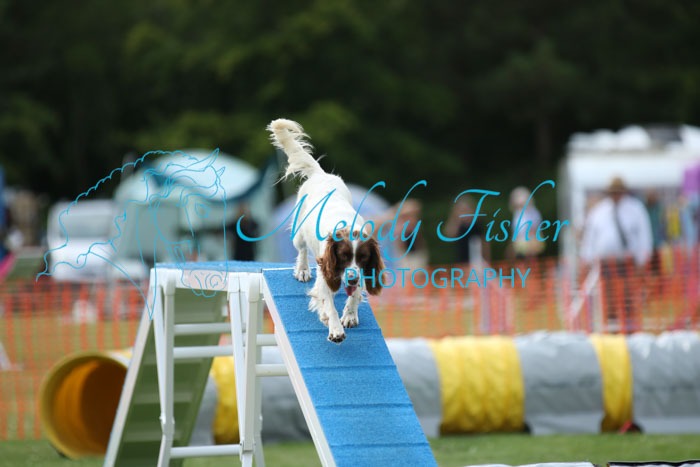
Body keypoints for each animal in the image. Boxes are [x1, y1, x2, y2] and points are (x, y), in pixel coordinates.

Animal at [268, 118, 385, 343]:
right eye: (343, 255)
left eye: (364, 257)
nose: (351, 278)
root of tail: (320, 174)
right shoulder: (325, 269)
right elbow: (328, 303)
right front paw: (335, 329)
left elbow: (355, 294)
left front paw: (349, 315)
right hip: (298, 233)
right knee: (302, 250)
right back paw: (303, 271)